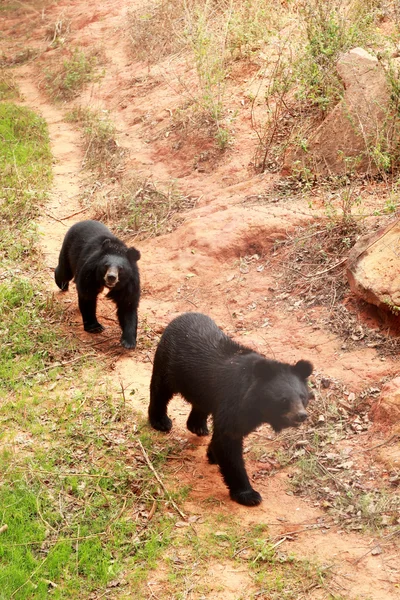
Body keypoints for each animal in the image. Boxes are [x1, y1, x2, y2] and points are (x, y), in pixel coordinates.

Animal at [55, 220, 141, 350]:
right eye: (106, 265)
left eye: (121, 268)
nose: (111, 277)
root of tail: (82, 221)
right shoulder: (89, 273)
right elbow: (88, 297)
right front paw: (95, 327)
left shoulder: (130, 283)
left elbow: (127, 305)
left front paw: (128, 342)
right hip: (68, 249)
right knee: (64, 272)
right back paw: (62, 285)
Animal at [148, 314, 314, 506]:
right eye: (284, 400)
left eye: (303, 397)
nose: (301, 415)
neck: (256, 405)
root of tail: (179, 317)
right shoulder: (233, 402)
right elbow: (228, 442)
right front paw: (249, 494)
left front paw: (212, 454)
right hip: (168, 362)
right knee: (160, 389)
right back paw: (161, 421)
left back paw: (198, 426)